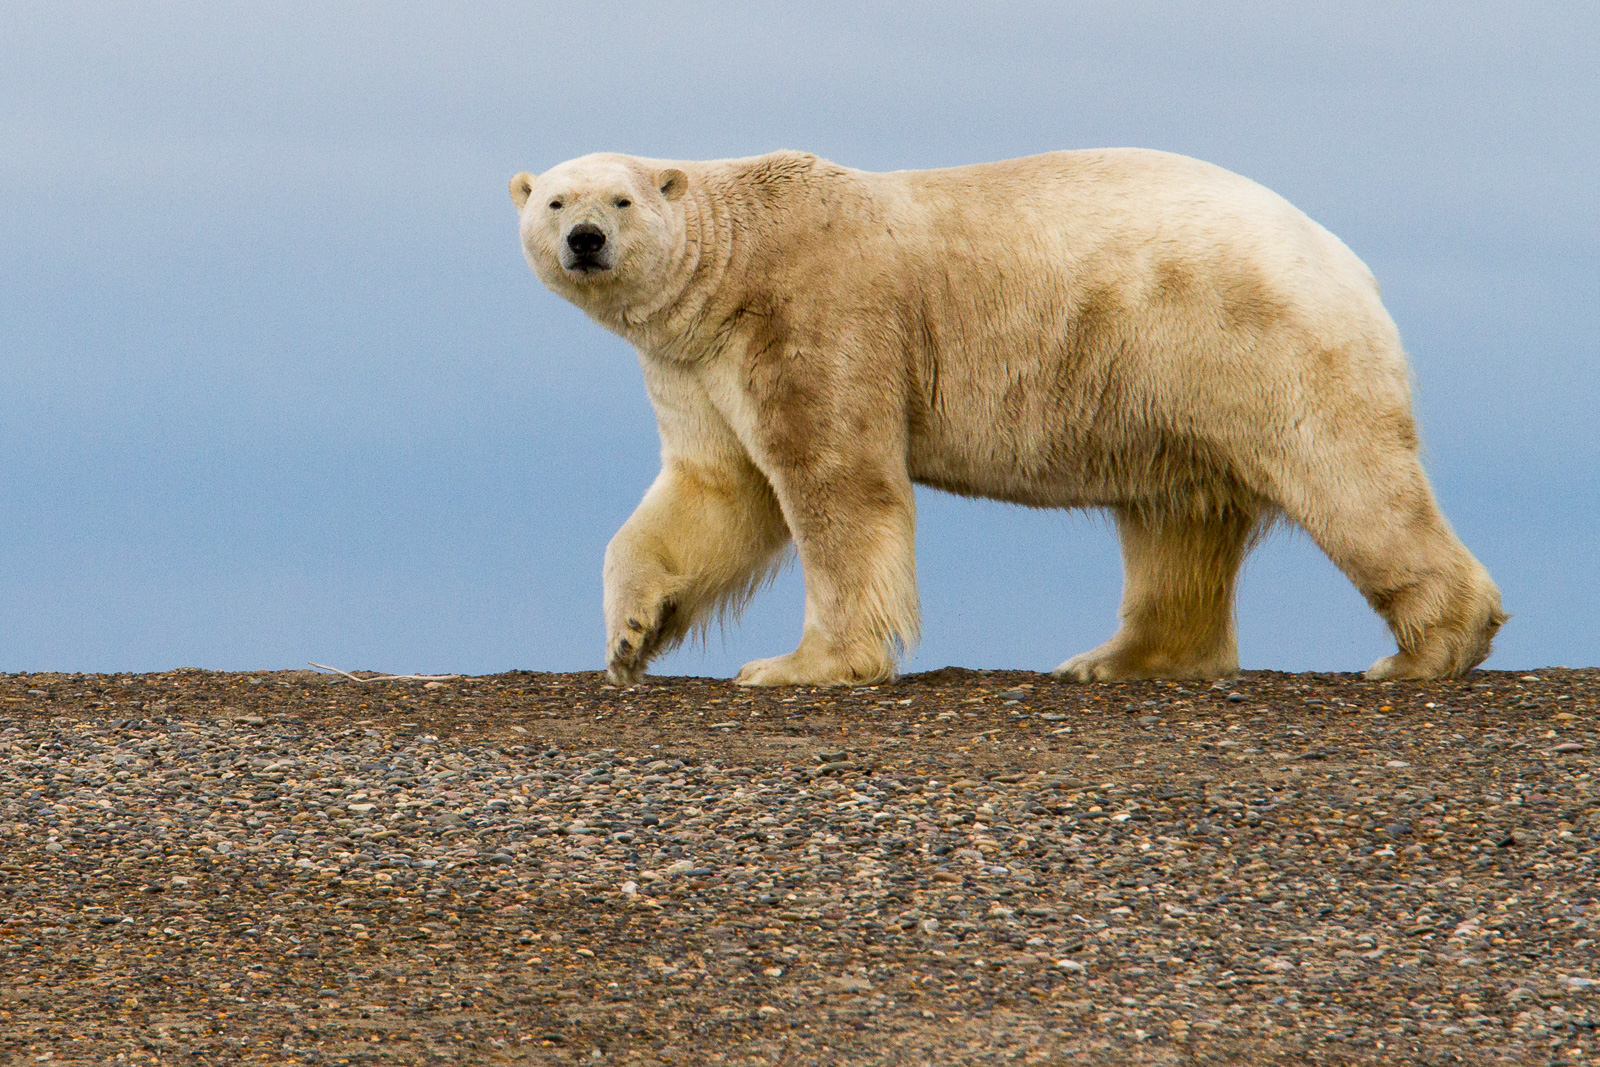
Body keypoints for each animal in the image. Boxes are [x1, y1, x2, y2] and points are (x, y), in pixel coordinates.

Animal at [515, 147, 1510, 684]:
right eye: (557, 198)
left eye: (621, 197)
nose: (585, 241)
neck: (735, 265)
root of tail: (1348, 260)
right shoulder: (696, 365)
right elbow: (719, 489)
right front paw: (630, 637)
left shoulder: (819, 313)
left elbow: (836, 483)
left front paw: (801, 664)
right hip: (1176, 381)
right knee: (1177, 520)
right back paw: (1119, 656)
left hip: (1257, 345)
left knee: (1349, 479)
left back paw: (1426, 649)